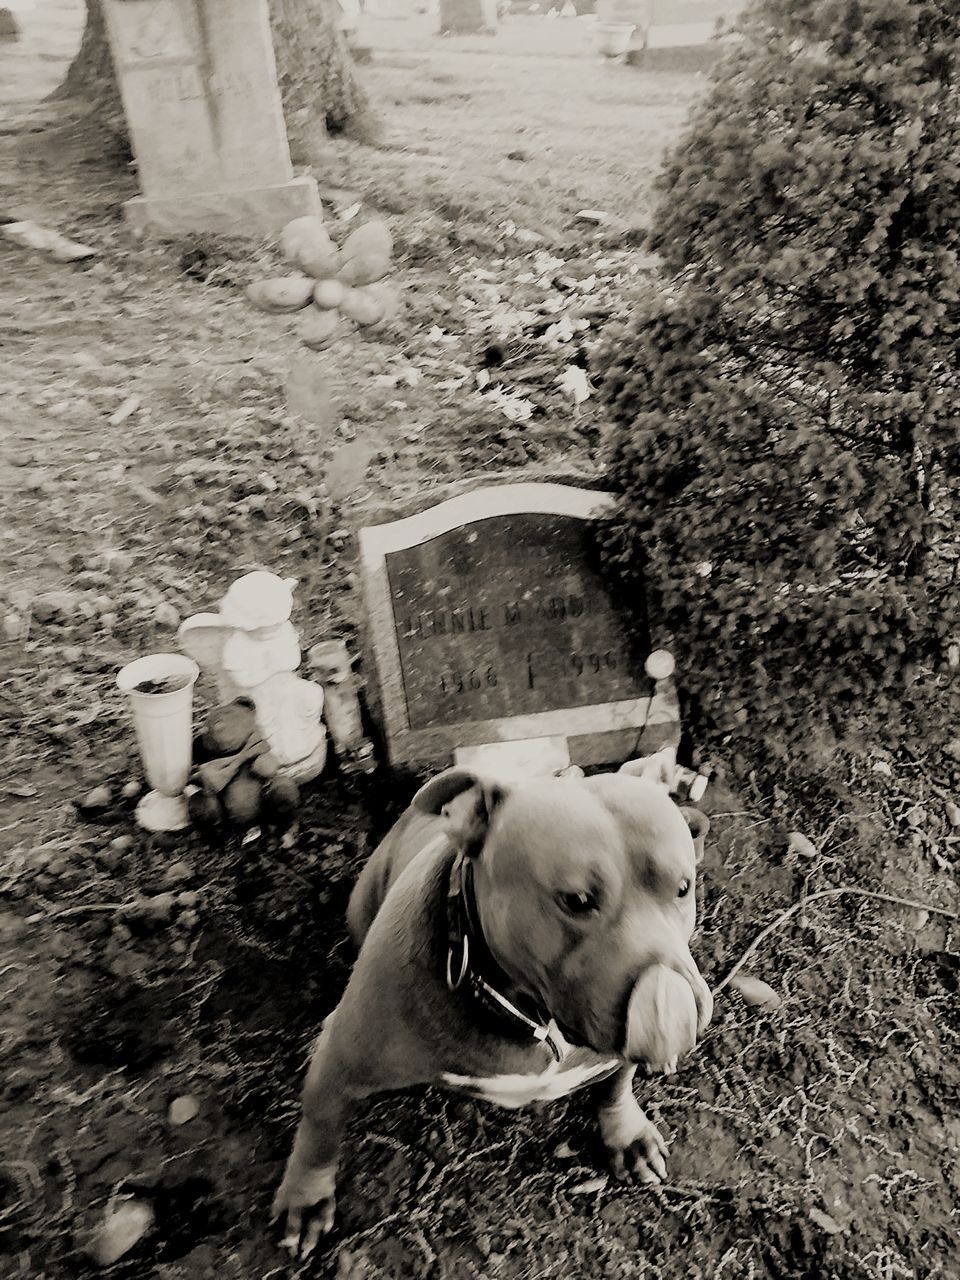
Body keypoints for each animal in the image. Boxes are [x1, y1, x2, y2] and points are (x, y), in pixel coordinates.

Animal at [272, 752, 716, 1254]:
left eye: (683, 888)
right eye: (576, 900)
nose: (681, 1000)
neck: (533, 1016)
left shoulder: (616, 1048)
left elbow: (616, 1084)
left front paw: (628, 1134)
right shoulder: (342, 1064)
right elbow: (320, 1128)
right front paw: (306, 1197)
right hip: (361, 907)